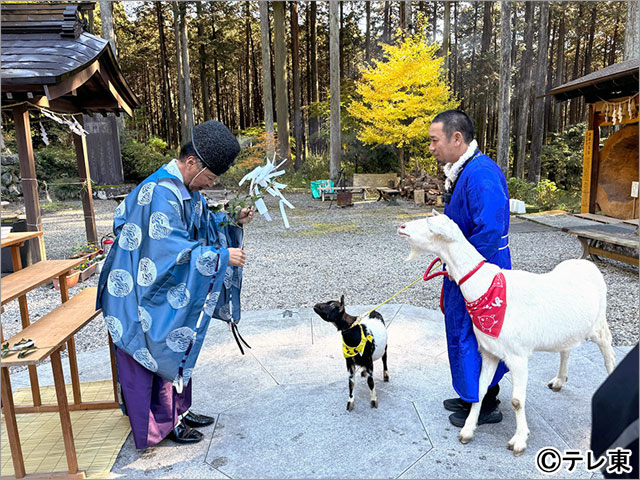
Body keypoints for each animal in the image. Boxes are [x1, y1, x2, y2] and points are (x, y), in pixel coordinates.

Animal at [400, 212, 616, 456]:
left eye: (429, 226)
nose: (402, 226)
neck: (485, 287)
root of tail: (588, 265)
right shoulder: (489, 352)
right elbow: (479, 390)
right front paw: (467, 430)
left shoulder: (518, 357)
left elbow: (516, 401)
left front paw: (519, 441)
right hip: (568, 329)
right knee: (566, 350)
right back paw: (559, 381)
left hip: (599, 324)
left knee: (608, 352)